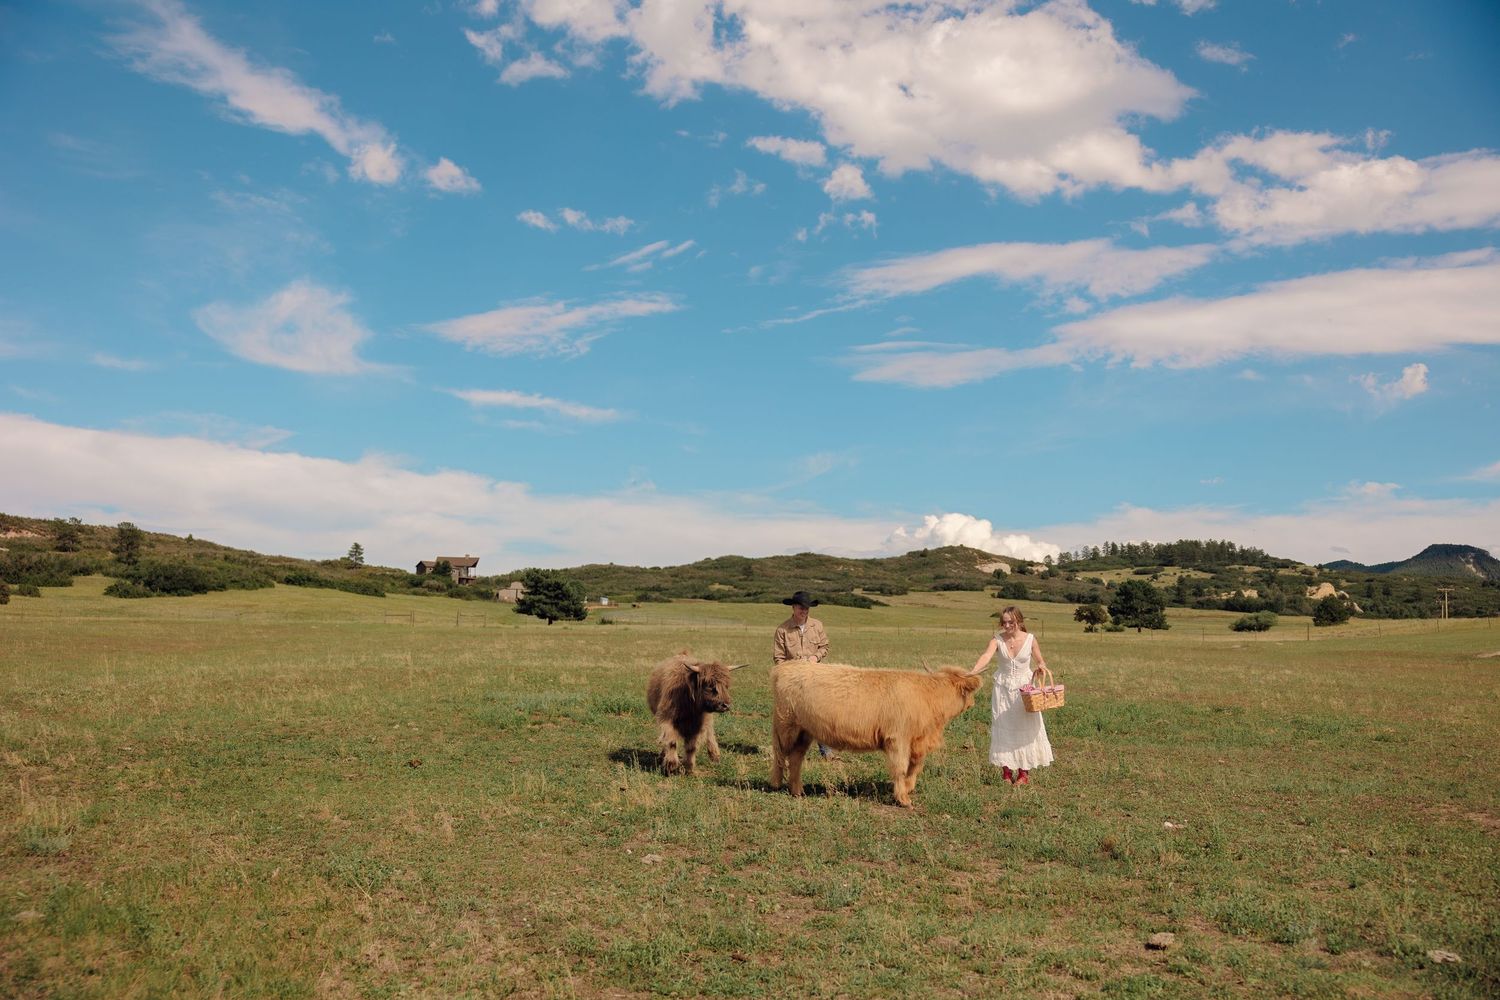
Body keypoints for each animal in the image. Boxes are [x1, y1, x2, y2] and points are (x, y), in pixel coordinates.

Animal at [770, 660, 982, 807]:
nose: (973, 704)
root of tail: (785, 667)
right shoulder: (898, 738)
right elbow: (901, 768)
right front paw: (903, 799)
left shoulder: (917, 741)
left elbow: (914, 767)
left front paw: (908, 788)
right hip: (785, 726)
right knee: (780, 754)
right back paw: (776, 784)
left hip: (804, 731)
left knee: (796, 757)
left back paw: (797, 791)